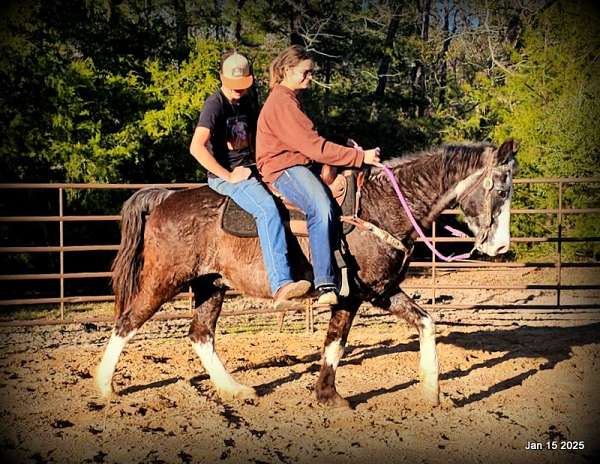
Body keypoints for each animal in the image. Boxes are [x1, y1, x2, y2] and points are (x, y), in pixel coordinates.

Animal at [96, 138, 516, 406]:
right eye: (499, 191)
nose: (500, 247)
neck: (380, 206)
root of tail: (166, 197)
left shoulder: (381, 290)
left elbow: (425, 323)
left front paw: (432, 394)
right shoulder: (351, 294)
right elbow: (336, 343)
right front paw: (329, 396)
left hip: (210, 285)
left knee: (201, 334)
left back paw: (235, 390)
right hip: (163, 280)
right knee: (127, 323)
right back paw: (104, 388)